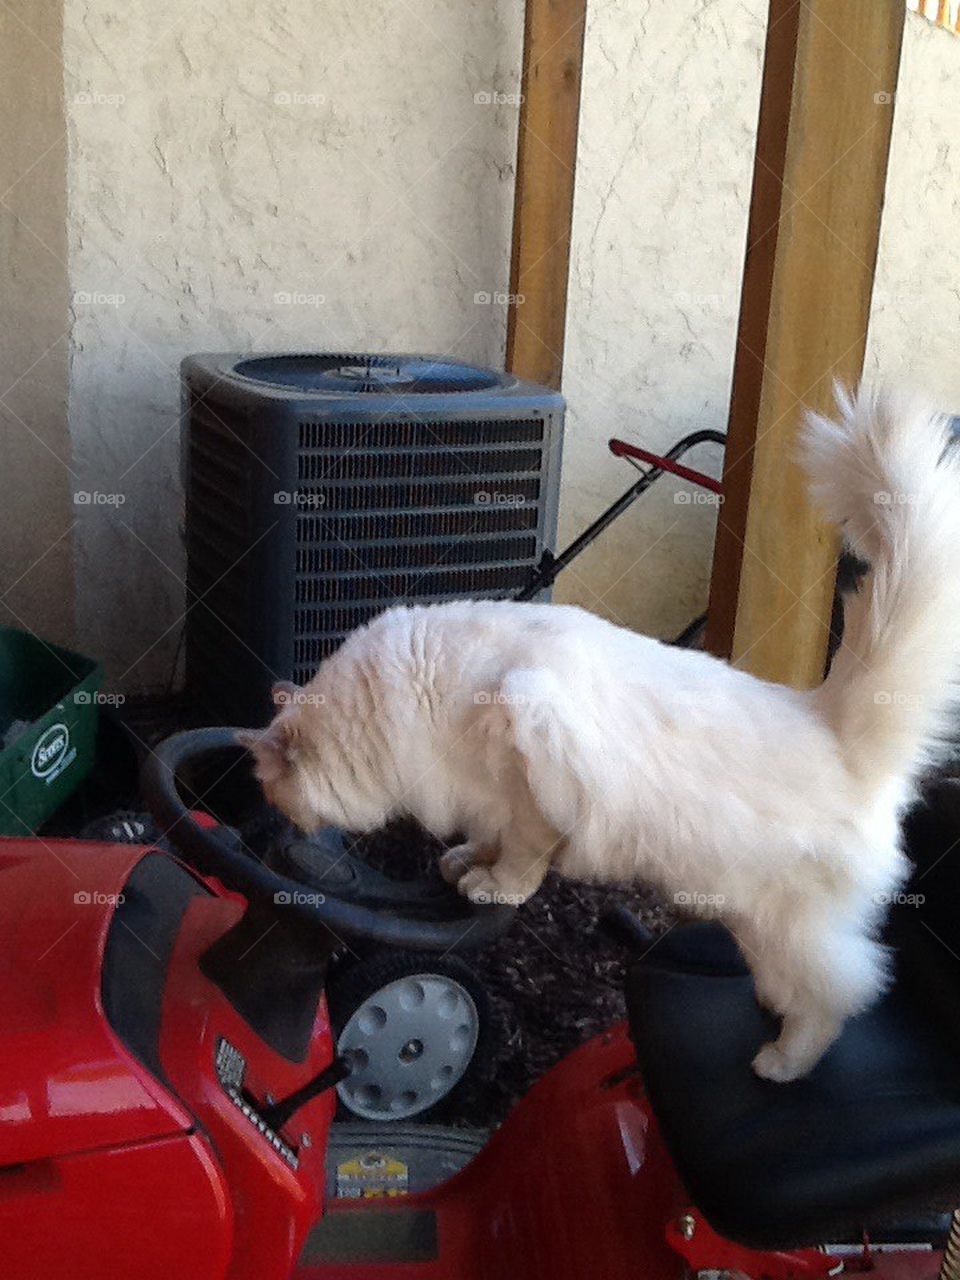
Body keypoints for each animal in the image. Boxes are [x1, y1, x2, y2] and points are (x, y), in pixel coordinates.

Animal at [244, 386, 960, 1080]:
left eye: (272, 794)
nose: (281, 825)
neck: (416, 692)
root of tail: (829, 720)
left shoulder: (534, 754)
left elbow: (523, 858)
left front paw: (493, 884)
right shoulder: (486, 795)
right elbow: (485, 836)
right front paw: (464, 864)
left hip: (781, 930)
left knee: (842, 994)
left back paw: (782, 1062)